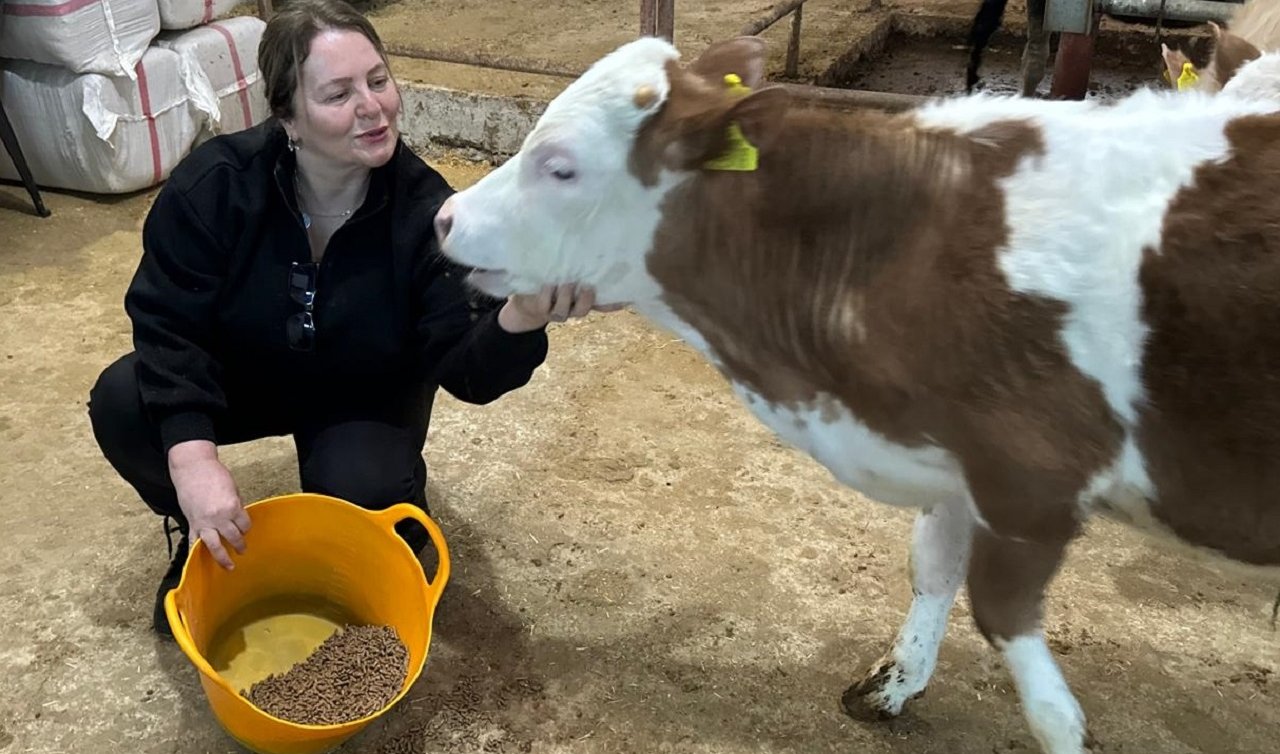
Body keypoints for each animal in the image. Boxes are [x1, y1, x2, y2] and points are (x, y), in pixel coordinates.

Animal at [435, 33, 1280, 752]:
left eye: (562, 166)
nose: (446, 216)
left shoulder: (1032, 479)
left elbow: (1028, 669)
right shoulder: (952, 451)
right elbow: (932, 567)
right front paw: (895, 685)